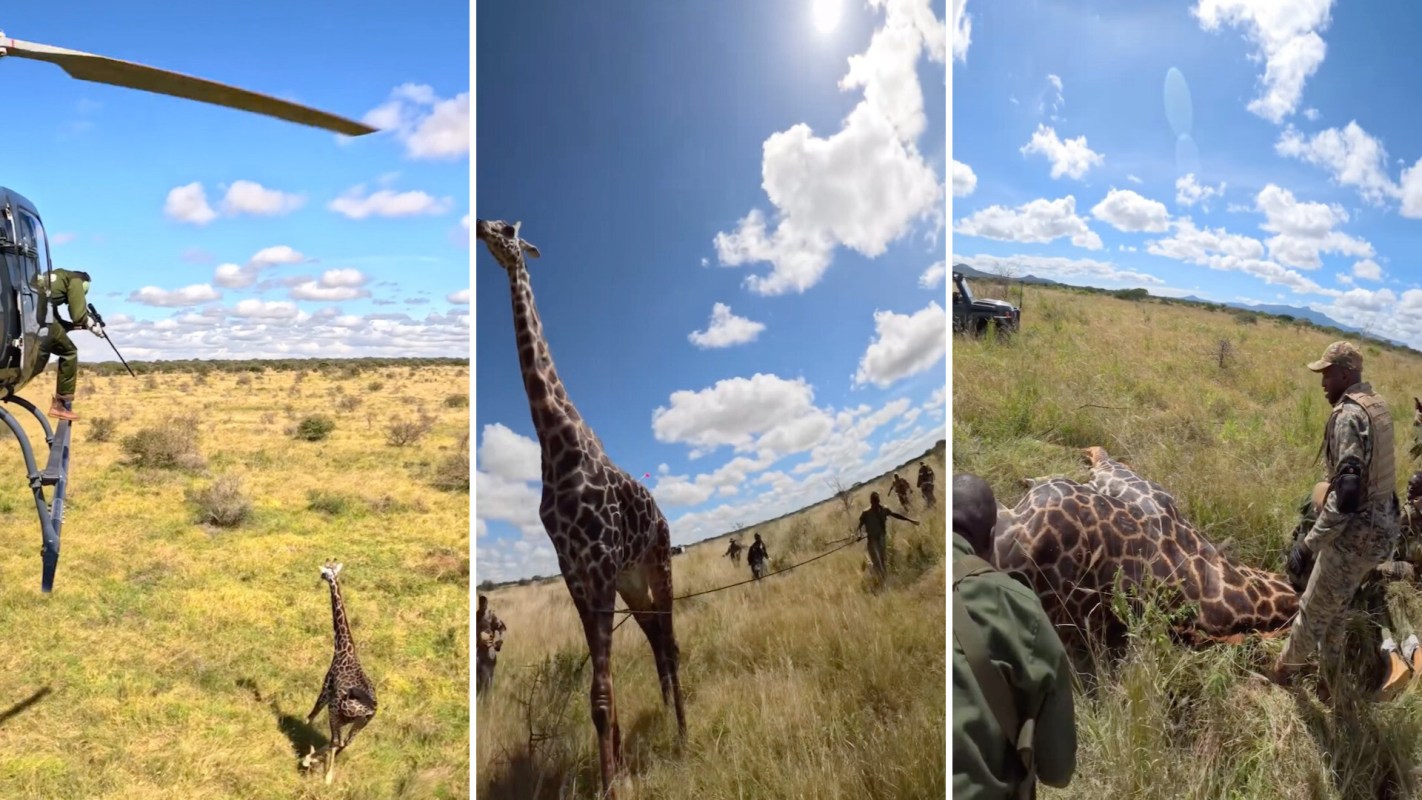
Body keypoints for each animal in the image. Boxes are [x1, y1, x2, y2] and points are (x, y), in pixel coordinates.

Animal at [301, 562, 377, 786]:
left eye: (326, 572)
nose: (321, 577)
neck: (343, 648)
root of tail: (370, 709)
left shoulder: (327, 687)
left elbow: (310, 716)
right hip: (360, 724)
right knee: (344, 743)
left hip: (336, 711)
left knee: (336, 740)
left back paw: (313, 764)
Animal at [475, 218, 686, 798]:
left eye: (508, 228)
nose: (481, 227)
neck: (556, 443)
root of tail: (661, 515)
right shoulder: (575, 573)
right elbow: (600, 692)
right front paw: (615, 771)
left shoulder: (598, 565)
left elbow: (601, 693)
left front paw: (613, 784)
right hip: (632, 581)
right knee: (657, 640)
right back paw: (669, 722)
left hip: (657, 563)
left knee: (673, 642)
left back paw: (685, 734)